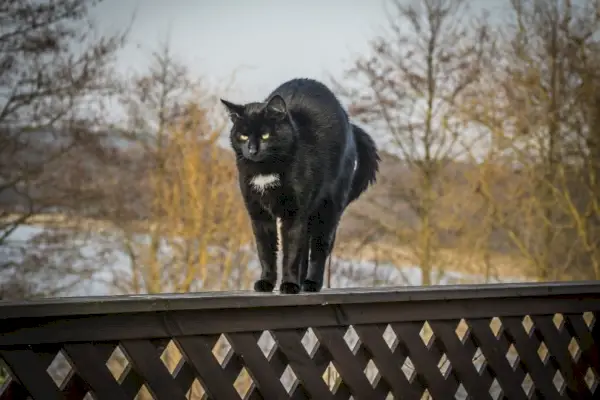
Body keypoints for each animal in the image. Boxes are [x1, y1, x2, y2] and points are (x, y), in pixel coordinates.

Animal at [220, 78, 380, 294]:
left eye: (265, 135)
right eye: (243, 136)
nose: (252, 150)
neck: (265, 170)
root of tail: (350, 125)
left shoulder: (295, 213)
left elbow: (291, 253)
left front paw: (288, 284)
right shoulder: (259, 214)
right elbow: (266, 251)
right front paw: (266, 282)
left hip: (328, 208)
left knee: (319, 248)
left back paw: (311, 283)